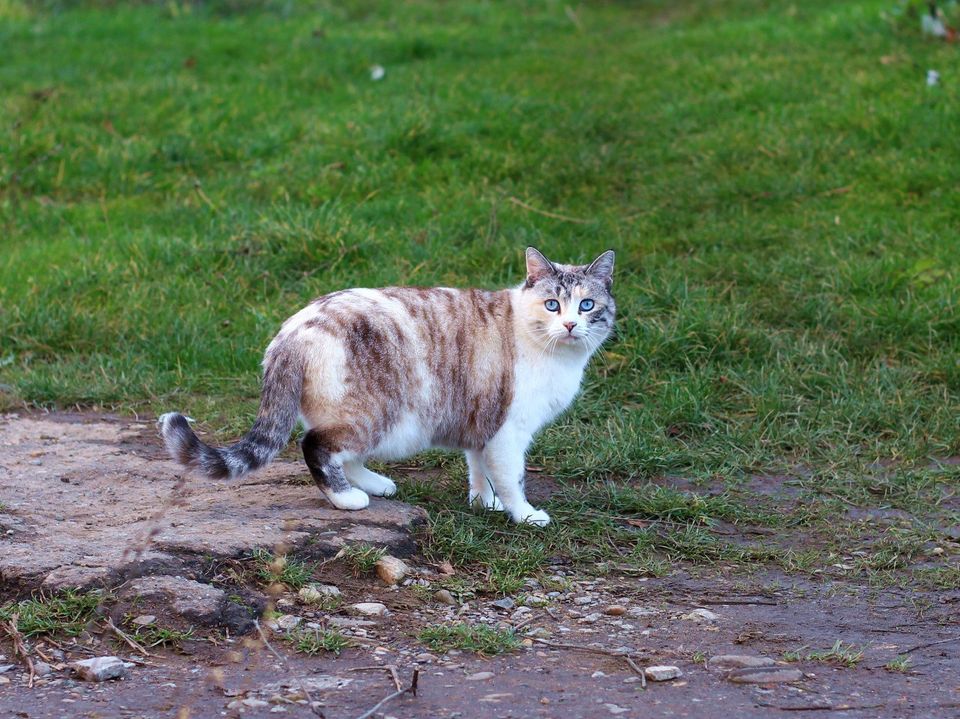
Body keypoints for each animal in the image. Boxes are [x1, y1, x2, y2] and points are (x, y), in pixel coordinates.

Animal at [159, 245, 616, 524]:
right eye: (553, 305)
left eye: (586, 305)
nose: (570, 325)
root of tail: (294, 329)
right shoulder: (510, 432)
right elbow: (511, 479)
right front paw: (523, 514)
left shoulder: (481, 425)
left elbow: (478, 468)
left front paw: (482, 503)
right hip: (381, 416)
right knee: (316, 446)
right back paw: (349, 499)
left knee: (342, 453)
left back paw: (376, 485)